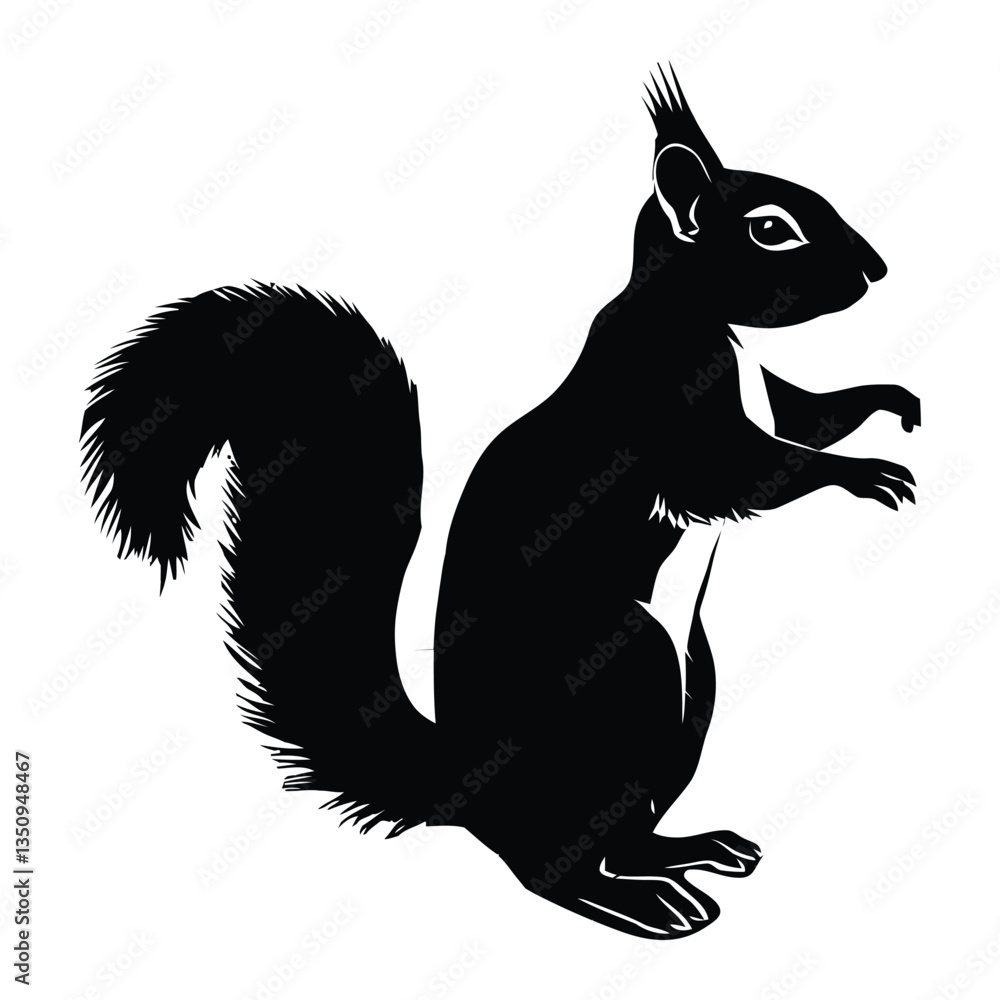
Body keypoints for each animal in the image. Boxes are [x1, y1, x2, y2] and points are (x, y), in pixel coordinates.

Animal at [82, 65, 920, 939]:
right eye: (771, 229)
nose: (876, 269)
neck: (704, 322)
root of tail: (467, 784)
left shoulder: (771, 400)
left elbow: (810, 414)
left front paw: (890, 401)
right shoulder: (662, 403)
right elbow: (746, 473)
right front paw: (867, 472)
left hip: (691, 694)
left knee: (621, 833)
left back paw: (687, 850)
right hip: (626, 668)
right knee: (552, 866)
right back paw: (642, 903)